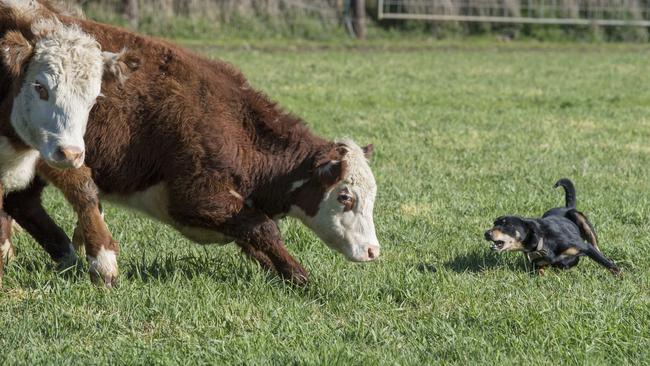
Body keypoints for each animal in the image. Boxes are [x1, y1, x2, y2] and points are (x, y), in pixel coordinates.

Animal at [6, 2, 380, 288]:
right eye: (345, 197)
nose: (373, 251)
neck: (235, 125)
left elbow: (254, 238)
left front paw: (286, 274)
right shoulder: (194, 197)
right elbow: (264, 228)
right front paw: (301, 277)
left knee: (22, 203)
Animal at [486, 179, 616, 276]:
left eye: (507, 225)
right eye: (494, 223)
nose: (486, 233)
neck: (542, 241)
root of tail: (567, 207)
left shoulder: (585, 247)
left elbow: (609, 265)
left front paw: (619, 277)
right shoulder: (537, 264)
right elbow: (542, 270)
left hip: (581, 220)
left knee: (597, 247)